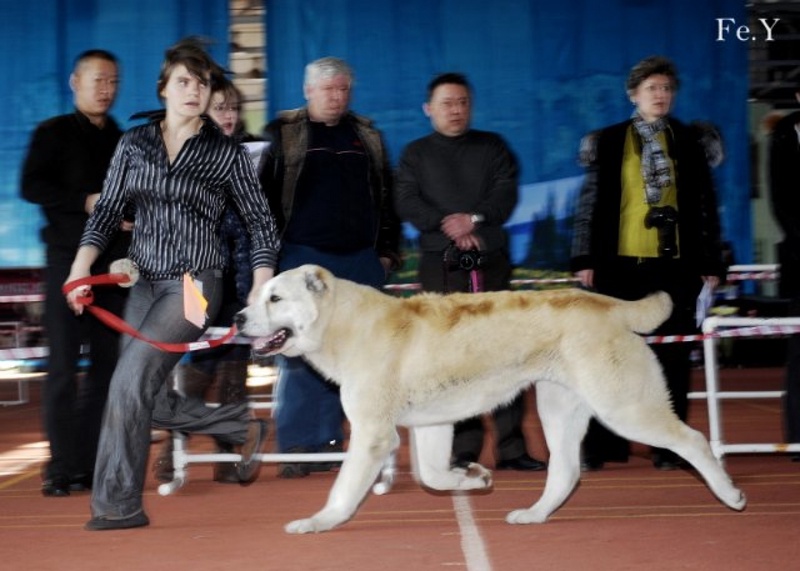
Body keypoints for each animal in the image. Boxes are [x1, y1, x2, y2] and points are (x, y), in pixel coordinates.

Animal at [234, 266, 748, 536]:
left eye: (276, 299)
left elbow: (343, 490)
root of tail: (608, 305)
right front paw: (476, 478)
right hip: (559, 409)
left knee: (694, 440)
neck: (342, 324)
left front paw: (318, 522)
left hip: (624, 407)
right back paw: (535, 514)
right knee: (566, 471)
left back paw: (730, 495)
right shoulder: (432, 426)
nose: (237, 317)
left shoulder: (373, 434)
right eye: (257, 296)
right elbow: (434, 476)